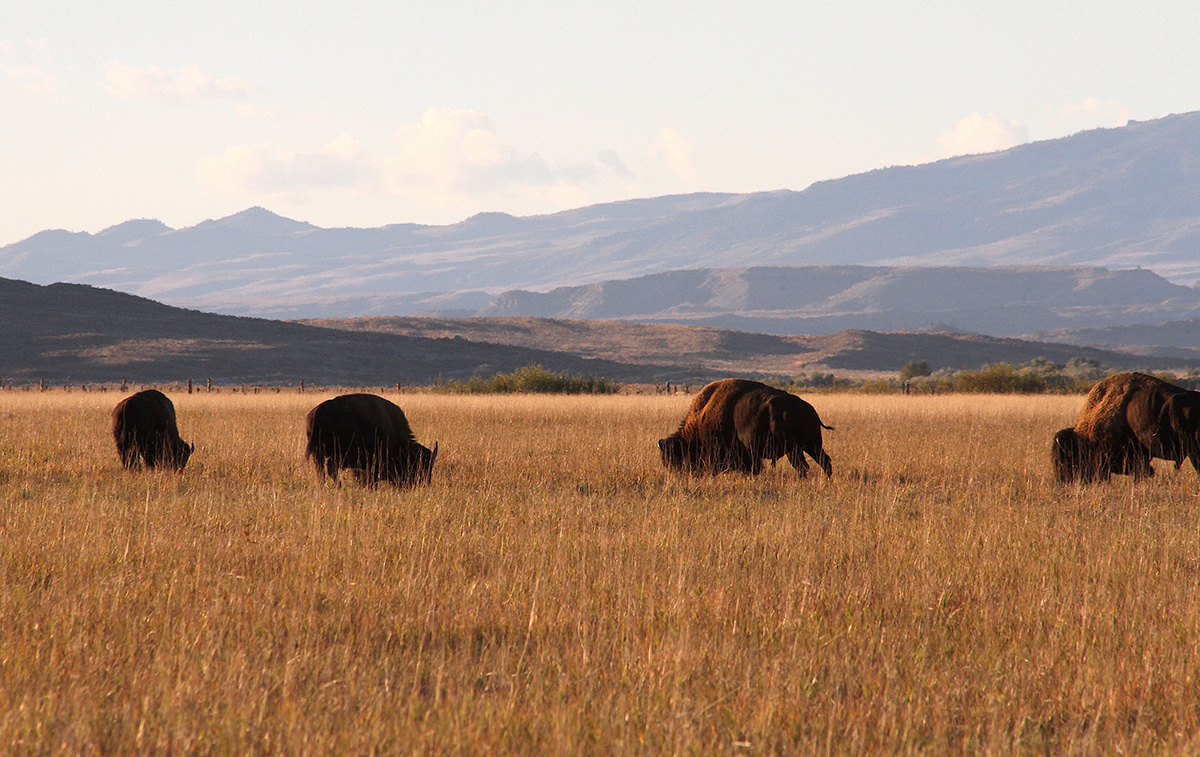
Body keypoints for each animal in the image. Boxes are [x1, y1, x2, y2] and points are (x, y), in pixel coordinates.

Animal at [305, 393, 437, 486]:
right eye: (418, 465)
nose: (424, 483)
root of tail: (317, 412)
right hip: (336, 453)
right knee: (330, 469)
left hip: (318, 453)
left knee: (322, 471)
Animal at [659, 378, 832, 478]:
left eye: (674, 458)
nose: (676, 474)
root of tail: (809, 409)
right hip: (810, 445)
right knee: (822, 462)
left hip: (796, 448)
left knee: (806, 465)